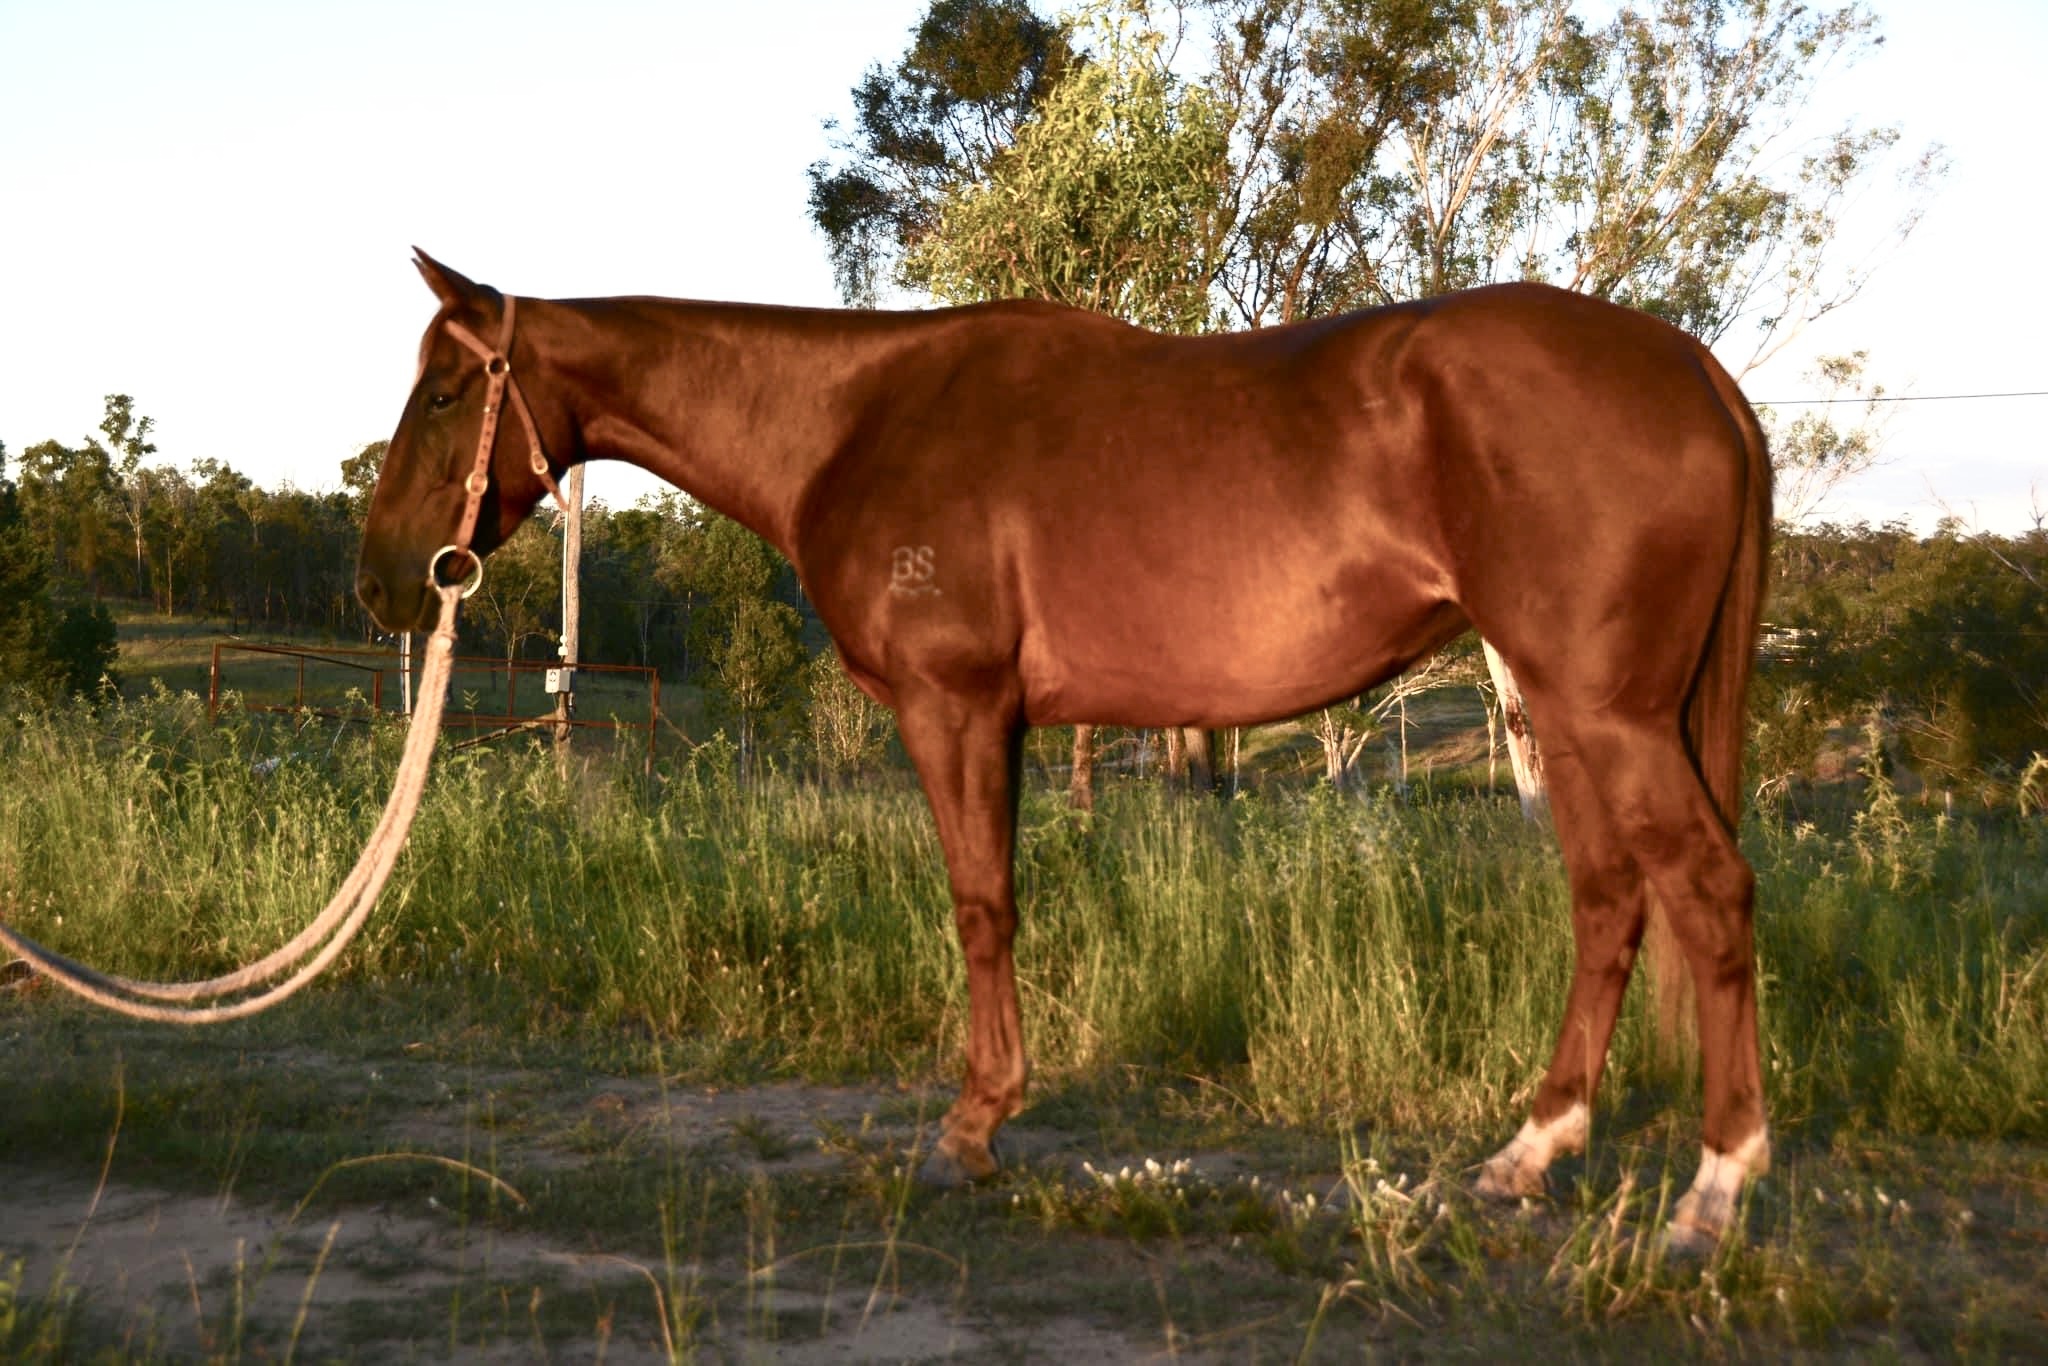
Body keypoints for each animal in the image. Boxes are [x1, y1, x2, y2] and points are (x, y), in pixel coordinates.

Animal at [357, 251, 1772, 1251]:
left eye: (446, 390)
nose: (383, 582)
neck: (850, 419)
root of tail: (1693, 371)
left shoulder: (956, 706)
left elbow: (981, 902)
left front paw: (971, 1128)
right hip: (1573, 715)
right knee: (1608, 898)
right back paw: (1530, 1153)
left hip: (1604, 714)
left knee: (1705, 891)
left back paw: (1713, 1194)